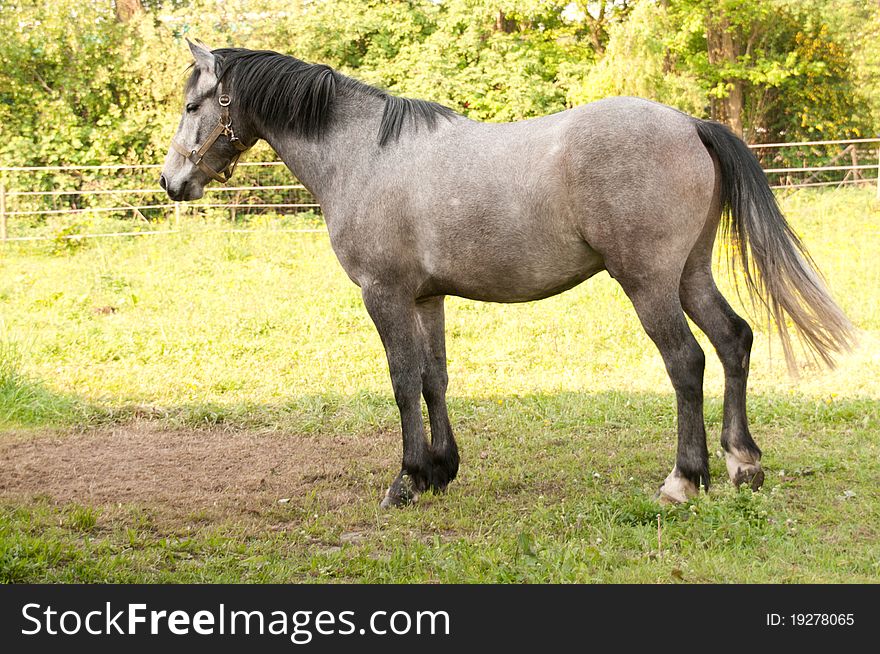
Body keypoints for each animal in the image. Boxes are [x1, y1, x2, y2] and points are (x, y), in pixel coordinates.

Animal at [160, 43, 852, 510]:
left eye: (193, 104)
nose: (172, 182)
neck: (364, 154)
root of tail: (689, 124)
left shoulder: (385, 295)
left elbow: (402, 382)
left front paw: (406, 480)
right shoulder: (427, 298)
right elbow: (434, 380)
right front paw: (441, 470)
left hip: (648, 282)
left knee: (686, 361)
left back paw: (684, 479)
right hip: (690, 274)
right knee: (734, 341)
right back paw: (743, 464)